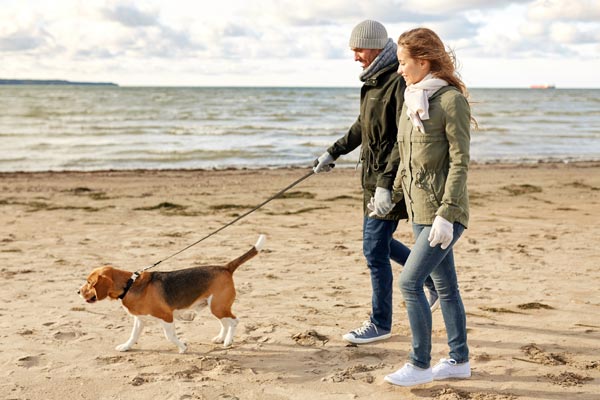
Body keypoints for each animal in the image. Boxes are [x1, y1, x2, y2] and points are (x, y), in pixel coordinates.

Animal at [77, 234, 264, 354]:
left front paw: (182, 347)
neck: (129, 285)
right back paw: (220, 338)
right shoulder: (140, 319)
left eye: (90, 282)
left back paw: (227, 341)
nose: (77, 291)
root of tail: (225, 267)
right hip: (216, 307)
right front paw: (126, 347)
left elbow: (170, 336)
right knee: (225, 323)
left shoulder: (166, 316)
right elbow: (133, 335)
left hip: (218, 306)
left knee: (234, 321)